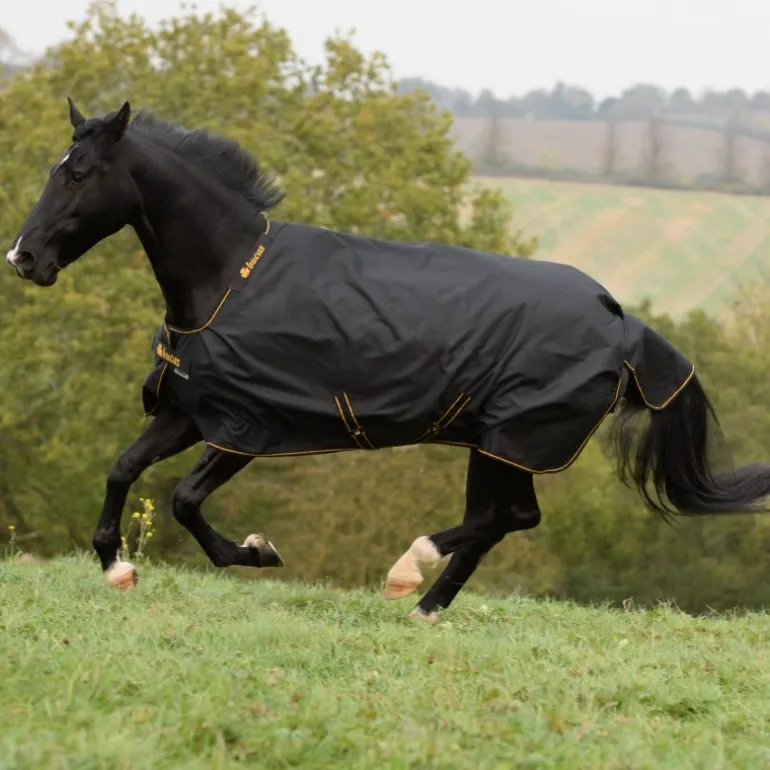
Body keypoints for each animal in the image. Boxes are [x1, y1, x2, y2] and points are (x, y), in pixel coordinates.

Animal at [6, 98, 770, 622]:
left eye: (80, 174)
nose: (24, 257)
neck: (230, 277)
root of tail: (623, 322)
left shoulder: (245, 427)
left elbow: (185, 501)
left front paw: (256, 552)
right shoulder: (186, 413)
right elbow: (121, 470)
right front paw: (116, 568)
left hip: (516, 437)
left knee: (505, 519)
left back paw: (409, 571)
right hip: (495, 443)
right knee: (508, 518)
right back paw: (427, 607)